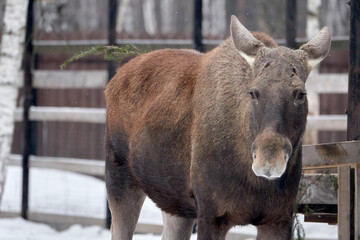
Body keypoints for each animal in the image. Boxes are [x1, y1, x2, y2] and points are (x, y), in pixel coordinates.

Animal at [105, 15, 332, 239]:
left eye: (300, 94)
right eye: (253, 92)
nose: (269, 159)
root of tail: (113, 81)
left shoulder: (279, 217)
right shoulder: (211, 214)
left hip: (175, 204)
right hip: (120, 181)